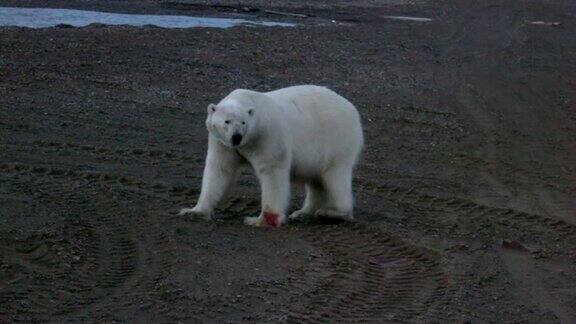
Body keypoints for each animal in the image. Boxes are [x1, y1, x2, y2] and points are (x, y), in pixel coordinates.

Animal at [180, 86, 362, 228]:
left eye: (243, 122)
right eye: (227, 121)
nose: (237, 137)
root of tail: (352, 109)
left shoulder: (266, 135)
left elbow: (272, 170)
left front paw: (261, 220)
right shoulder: (221, 143)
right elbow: (220, 169)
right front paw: (193, 211)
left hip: (335, 139)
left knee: (335, 176)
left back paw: (332, 213)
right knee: (316, 180)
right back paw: (303, 212)